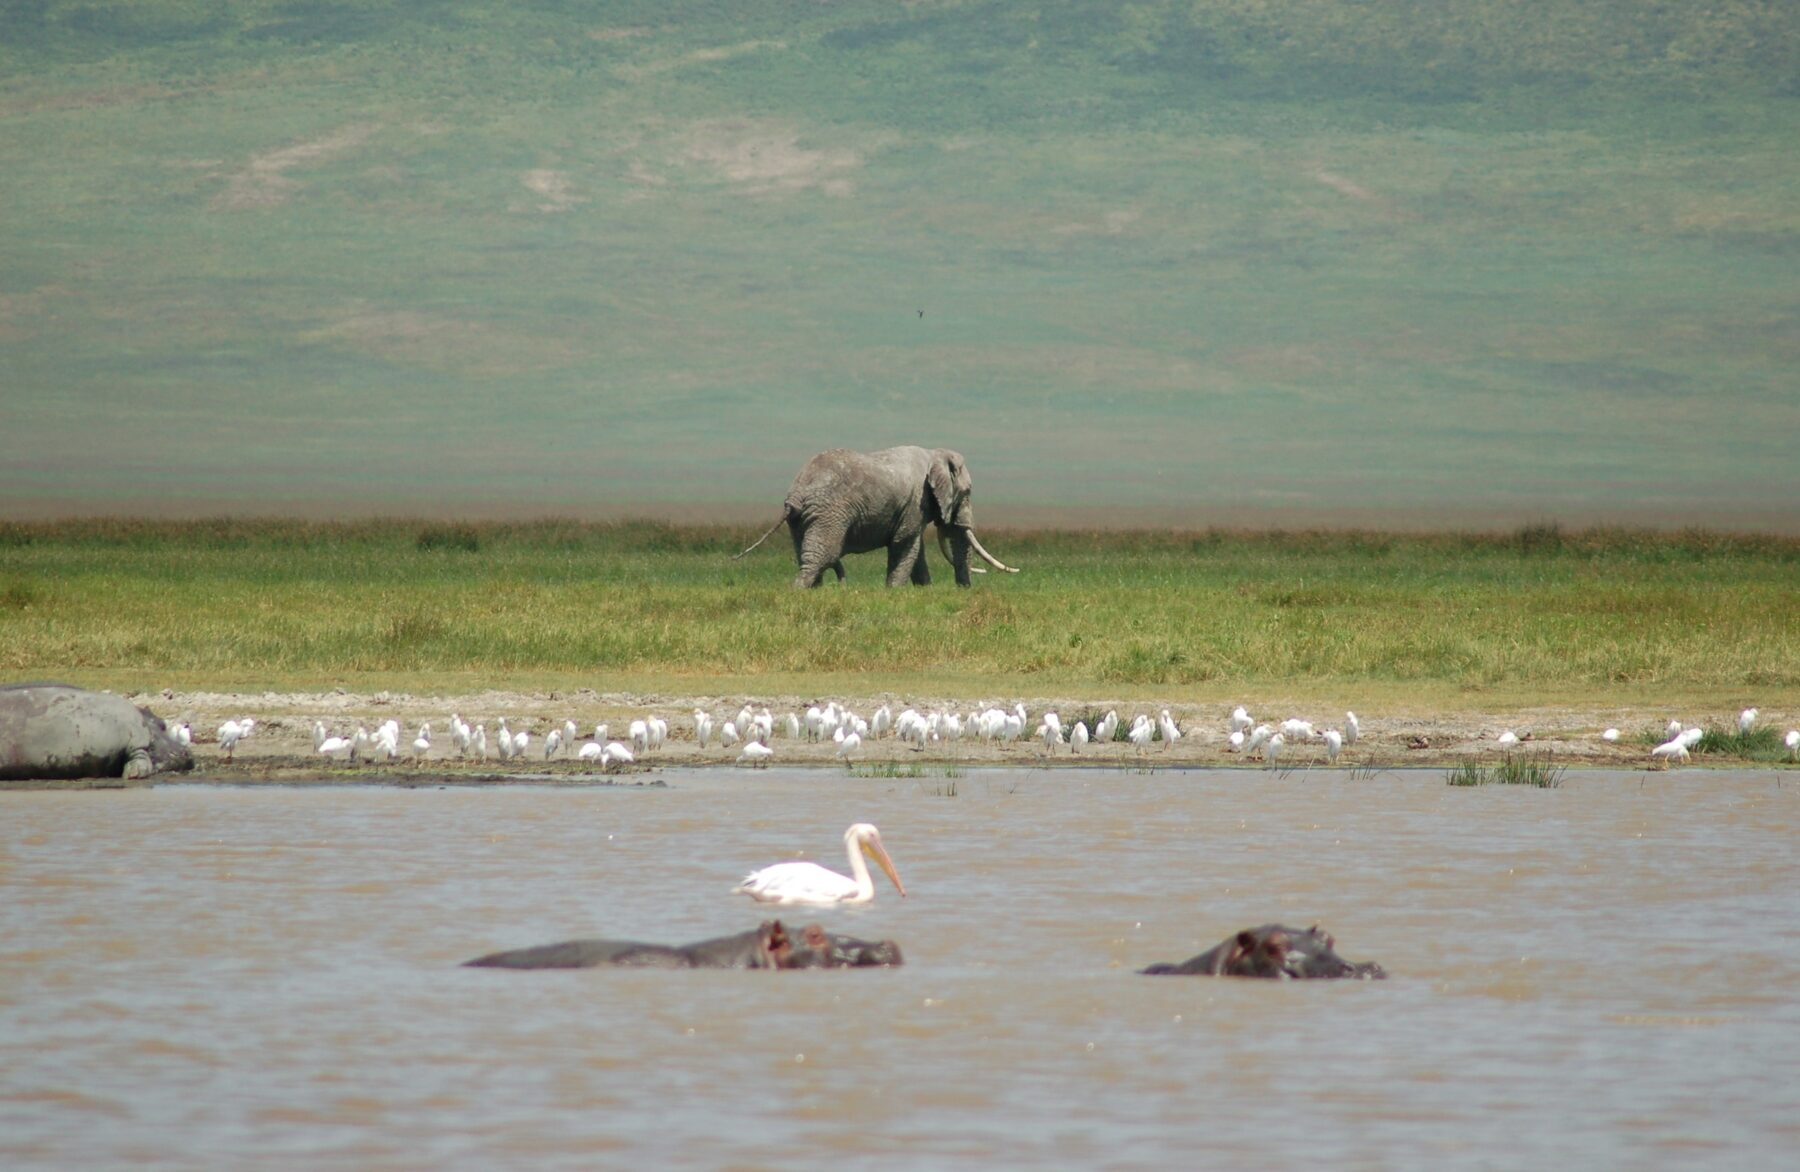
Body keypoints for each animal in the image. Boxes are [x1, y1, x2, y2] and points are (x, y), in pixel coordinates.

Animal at [735, 446, 1019, 588]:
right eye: (967, 492)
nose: (964, 590)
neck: (935, 453)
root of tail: (796, 492)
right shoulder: (915, 500)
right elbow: (905, 545)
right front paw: (895, 592)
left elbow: (915, 548)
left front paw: (924, 591)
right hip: (830, 513)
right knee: (821, 556)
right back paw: (800, 590)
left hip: (801, 520)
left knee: (806, 553)